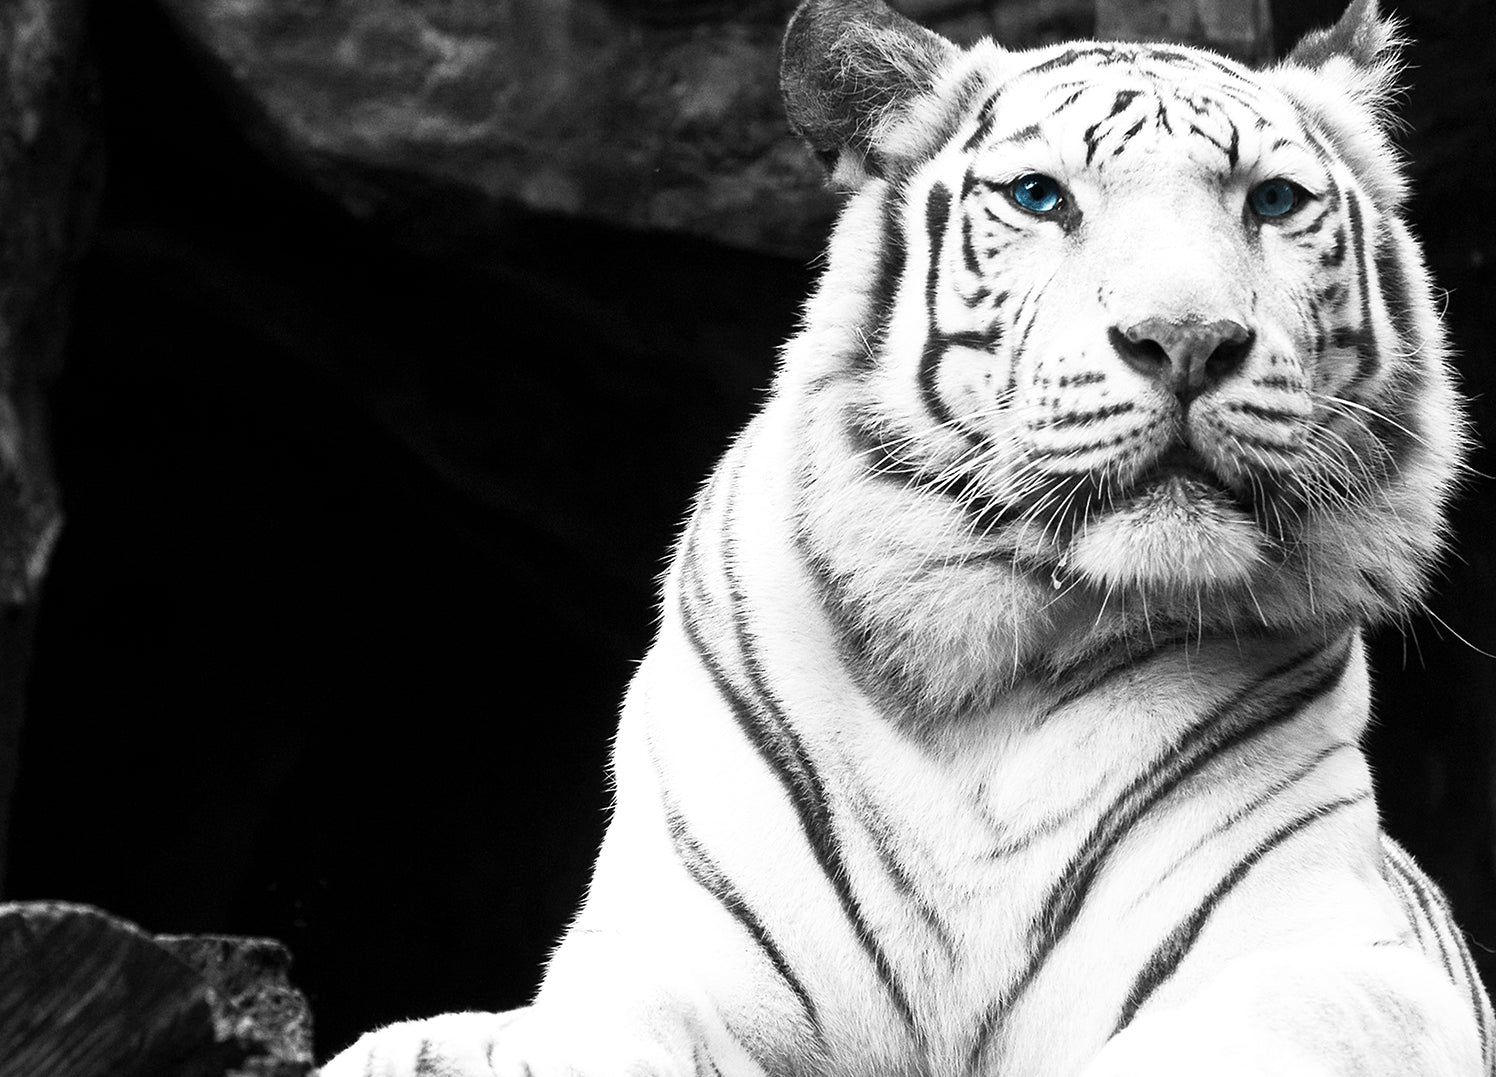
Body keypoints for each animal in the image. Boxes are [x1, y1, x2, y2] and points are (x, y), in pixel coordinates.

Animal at [321, 0, 1494, 1074]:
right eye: (1039, 196)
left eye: (1272, 201)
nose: (1188, 339)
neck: (996, 662)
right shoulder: (672, 947)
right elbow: (594, 1030)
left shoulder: (1343, 956)